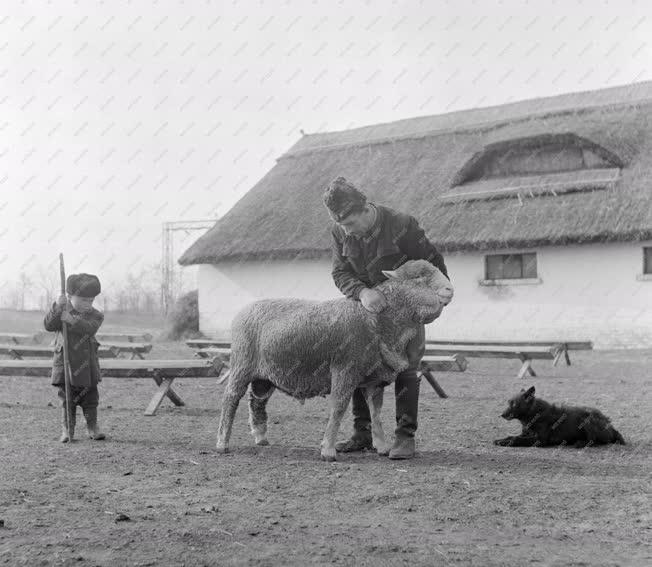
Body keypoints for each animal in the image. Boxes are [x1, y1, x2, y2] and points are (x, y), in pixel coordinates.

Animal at [494, 386, 628, 448]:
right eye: (508, 402)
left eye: (514, 404)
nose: (502, 415)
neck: (533, 414)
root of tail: (612, 427)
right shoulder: (526, 434)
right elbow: (512, 436)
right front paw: (501, 440)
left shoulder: (540, 440)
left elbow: (516, 439)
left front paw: (504, 442)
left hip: (587, 418)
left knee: (593, 440)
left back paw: (579, 443)